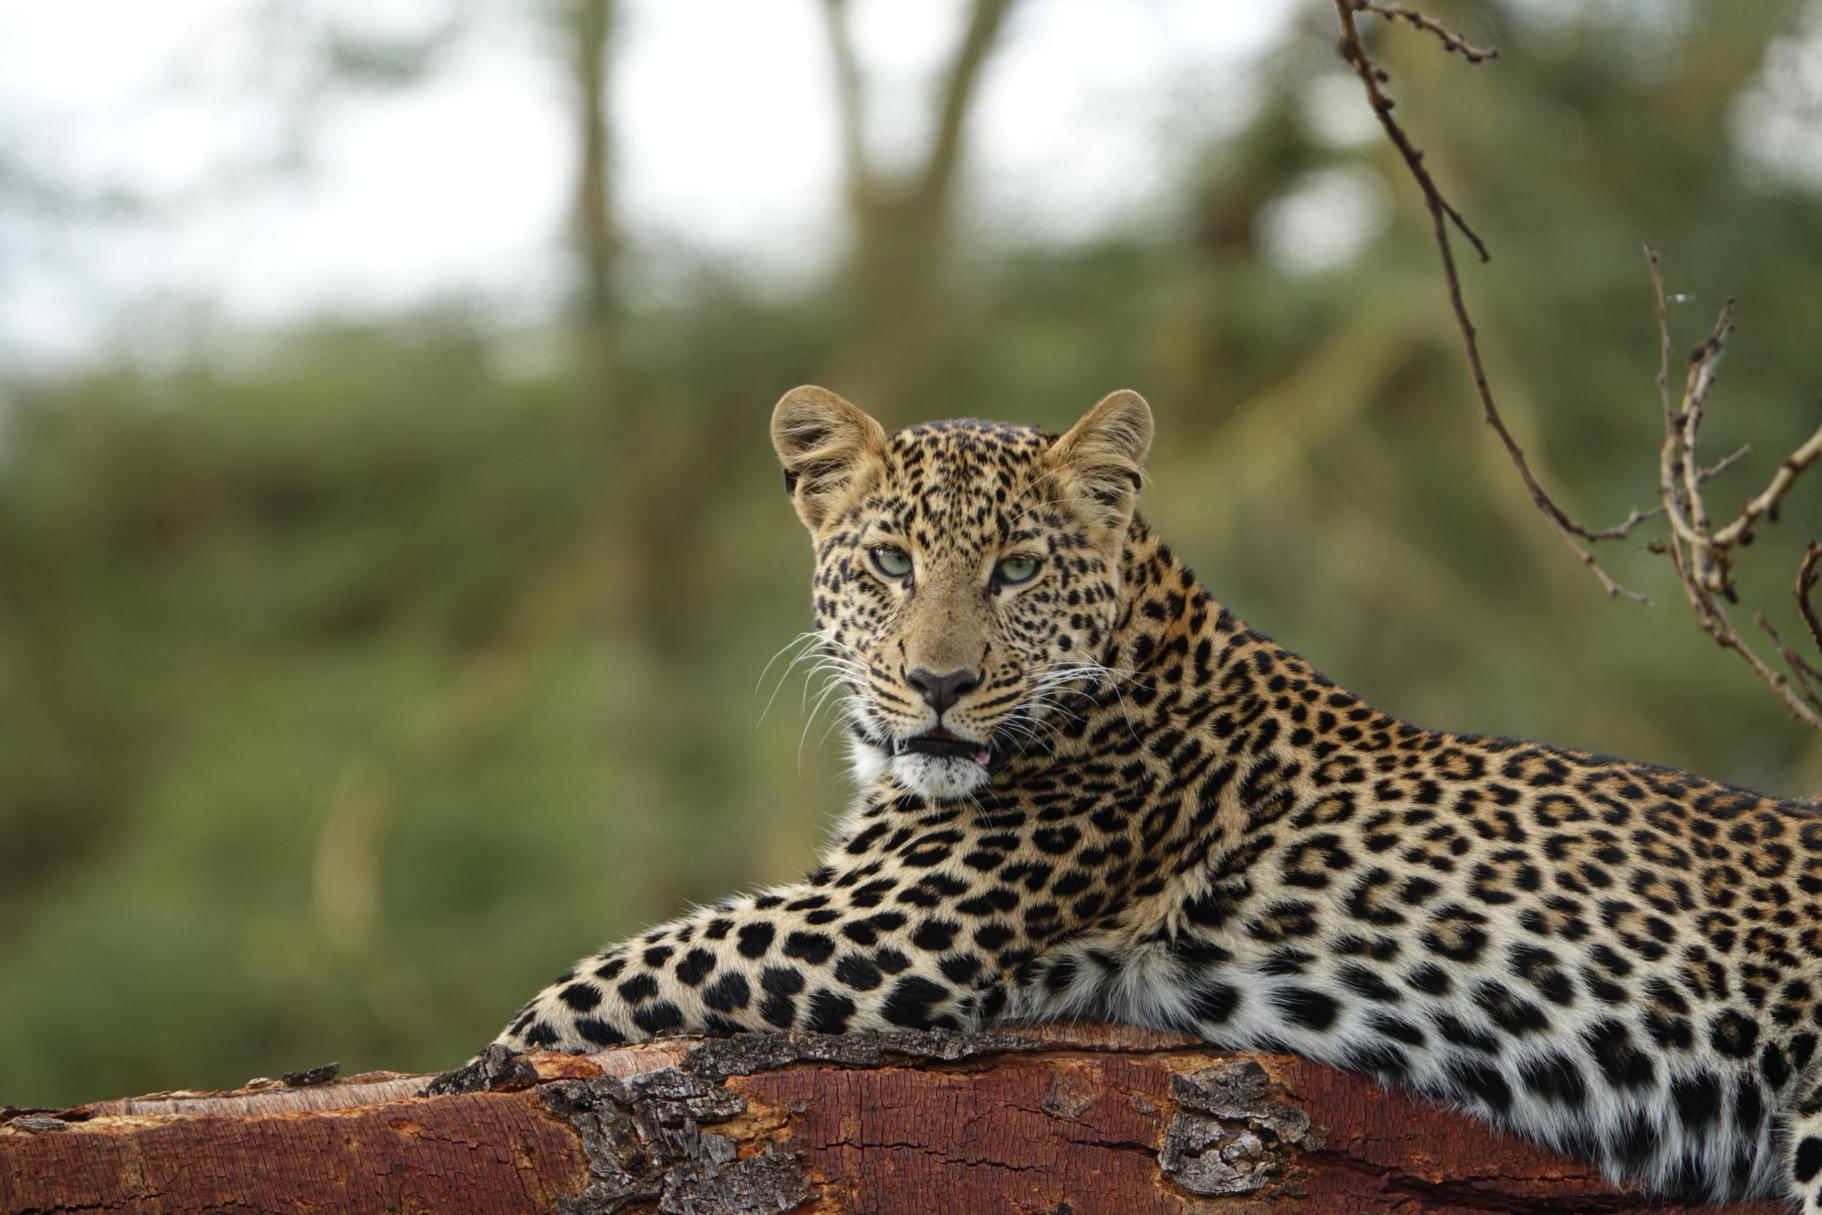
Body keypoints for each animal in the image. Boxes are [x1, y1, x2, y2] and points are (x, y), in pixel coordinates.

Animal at [489, 384, 1822, 1212]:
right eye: (890, 563)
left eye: (1017, 568)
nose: (938, 683)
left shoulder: (888, 927)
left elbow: (596, 982)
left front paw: (486, 1068)